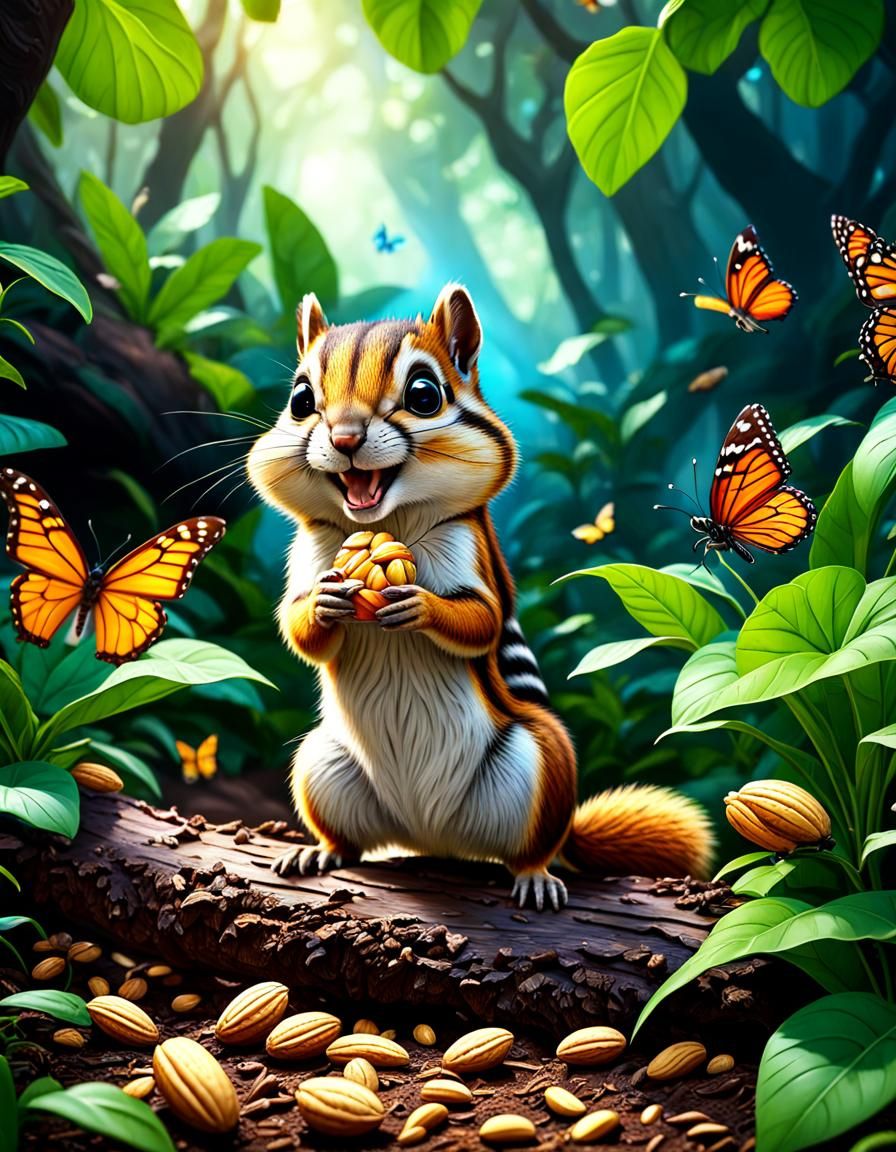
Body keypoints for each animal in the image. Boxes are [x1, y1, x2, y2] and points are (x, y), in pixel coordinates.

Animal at [248, 284, 713, 910]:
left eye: (424, 395)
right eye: (300, 400)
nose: (345, 439)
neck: (387, 521)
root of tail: (429, 834)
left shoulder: (468, 548)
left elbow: (482, 620)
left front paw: (420, 604)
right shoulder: (308, 554)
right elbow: (299, 629)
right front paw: (325, 604)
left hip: (541, 763)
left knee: (532, 848)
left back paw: (535, 876)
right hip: (320, 765)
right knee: (347, 836)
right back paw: (320, 852)